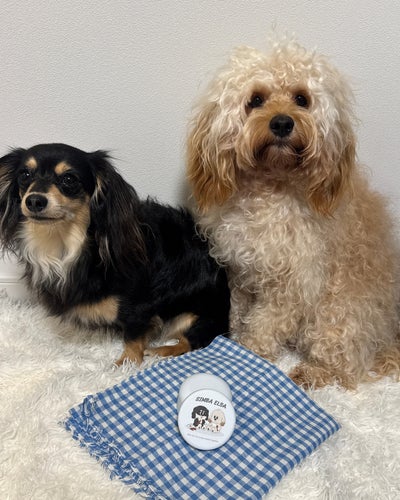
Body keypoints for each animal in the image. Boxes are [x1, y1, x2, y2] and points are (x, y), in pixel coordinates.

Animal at [0, 143, 230, 365]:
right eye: (24, 175)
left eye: (69, 179)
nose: (34, 201)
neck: (67, 244)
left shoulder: (139, 304)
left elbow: (133, 337)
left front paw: (124, 364)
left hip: (197, 313)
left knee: (192, 341)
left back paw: (160, 351)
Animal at [187, 39, 400, 389]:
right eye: (255, 100)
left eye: (302, 98)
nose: (282, 123)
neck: (270, 191)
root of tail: (387, 337)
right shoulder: (241, 272)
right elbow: (237, 311)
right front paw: (232, 338)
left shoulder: (293, 284)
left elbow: (264, 324)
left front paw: (247, 352)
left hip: (337, 316)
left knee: (347, 367)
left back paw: (310, 373)